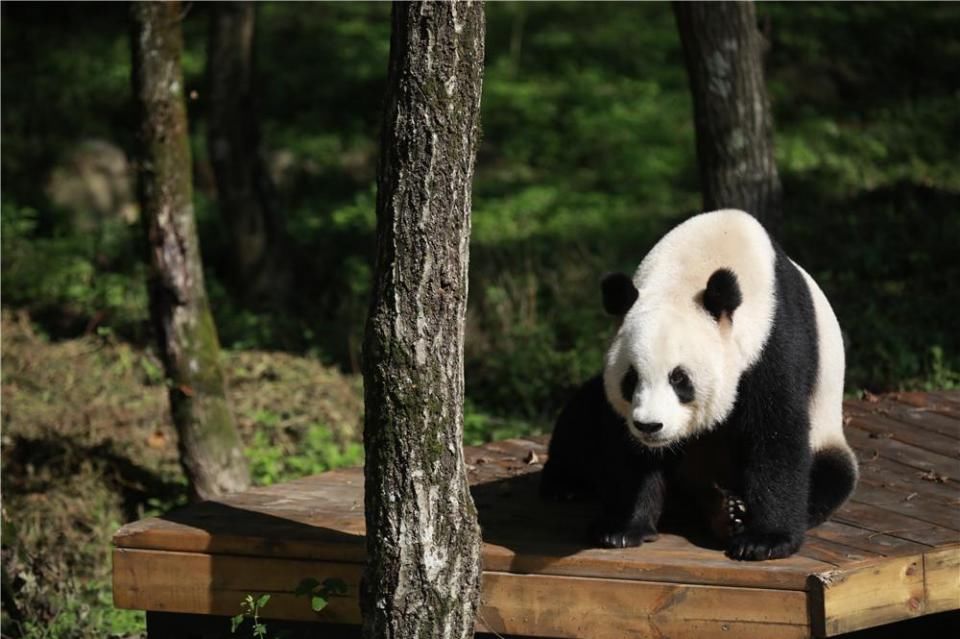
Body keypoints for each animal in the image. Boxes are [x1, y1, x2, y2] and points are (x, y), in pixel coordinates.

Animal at [540, 209, 864, 560]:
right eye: (631, 378)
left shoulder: (772, 340)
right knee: (581, 416)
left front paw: (764, 540)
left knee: (833, 473)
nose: (650, 426)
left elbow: (776, 432)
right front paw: (621, 528)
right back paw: (567, 483)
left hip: (827, 432)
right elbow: (627, 449)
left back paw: (732, 513)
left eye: (679, 378)